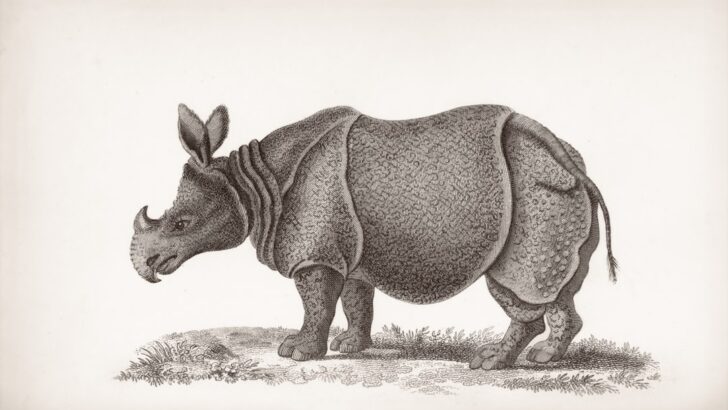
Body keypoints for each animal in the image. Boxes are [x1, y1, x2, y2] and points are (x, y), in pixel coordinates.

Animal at [130, 104, 617, 369]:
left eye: (181, 224)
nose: (149, 268)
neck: (249, 185)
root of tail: (565, 157)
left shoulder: (314, 250)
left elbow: (316, 302)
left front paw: (297, 353)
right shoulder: (349, 249)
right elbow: (354, 299)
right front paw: (349, 346)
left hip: (533, 191)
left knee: (514, 282)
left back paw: (489, 363)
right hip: (560, 186)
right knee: (555, 285)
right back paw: (545, 359)